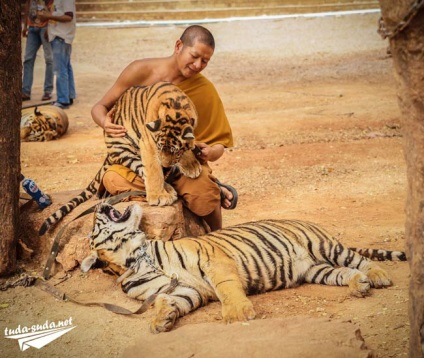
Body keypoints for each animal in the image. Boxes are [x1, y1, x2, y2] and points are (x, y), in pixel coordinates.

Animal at [38, 82, 202, 236]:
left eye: (175, 151)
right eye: (159, 147)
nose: (166, 166)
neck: (177, 108)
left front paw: (191, 165)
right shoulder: (148, 142)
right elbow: (154, 171)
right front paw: (159, 196)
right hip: (124, 149)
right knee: (145, 172)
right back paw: (166, 191)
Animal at [81, 203, 406, 334]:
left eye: (95, 221)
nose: (100, 205)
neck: (138, 260)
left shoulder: (214, 261)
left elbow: (227, 288)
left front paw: (237, 313)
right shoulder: (189, 289)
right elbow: (171, 300)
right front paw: (163, 319)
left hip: (324, 246)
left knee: (358, 260)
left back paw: (378, 277)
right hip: (316, 270)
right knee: (343, 272)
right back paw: (358, 285)